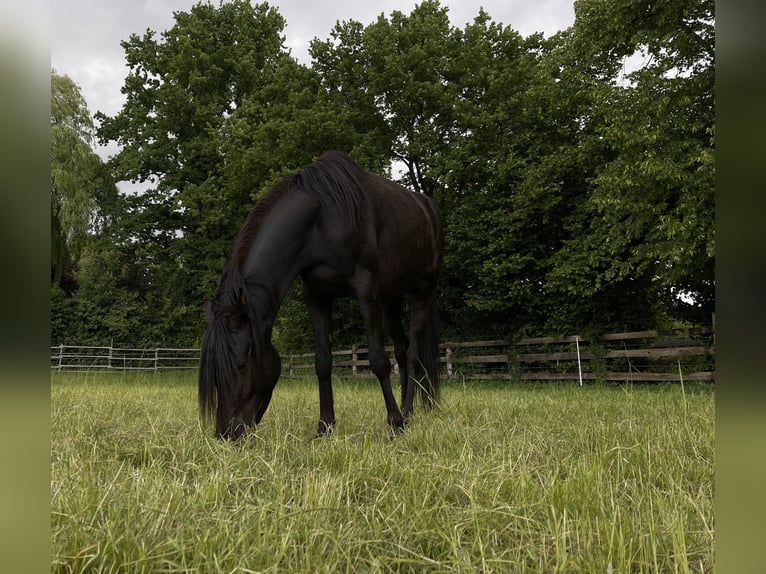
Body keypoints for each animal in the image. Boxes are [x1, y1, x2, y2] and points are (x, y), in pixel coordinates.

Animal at [199, 151, 443, 439]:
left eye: (240, 364)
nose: (225, 433)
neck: (321, 222)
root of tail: (427, 207)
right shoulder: (316, 295)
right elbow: (322, 361)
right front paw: (325, 426)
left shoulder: (365, 289)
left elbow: (378, 359)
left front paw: (393, 422)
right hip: (389, 299)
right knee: (402, 349)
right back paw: (409, 413)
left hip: (422, 290)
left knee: (414, 351)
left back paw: (404, 415)